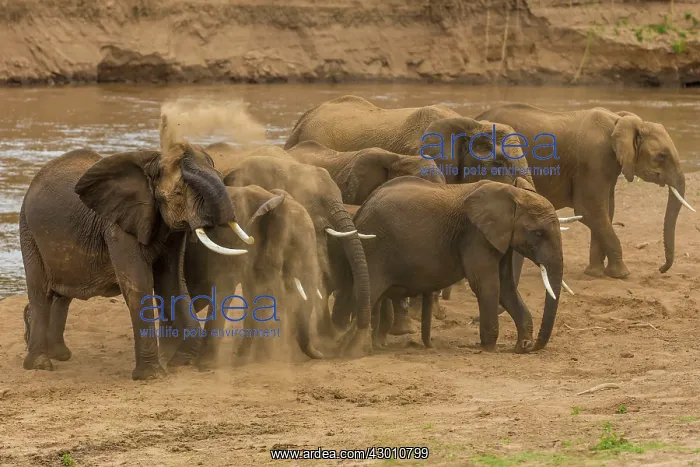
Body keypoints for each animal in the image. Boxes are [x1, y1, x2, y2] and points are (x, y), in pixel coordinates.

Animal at [19, 115, 252, 380]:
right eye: (178, 193)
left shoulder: (168, 230)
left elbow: (172, 283)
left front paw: (178, 363)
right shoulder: (118, 227)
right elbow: (138, 285)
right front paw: (152, 376)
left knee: (62, 294)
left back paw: (58, 354)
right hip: (28, 231)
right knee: (40, 291)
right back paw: (40, 364)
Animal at [184, 185, 323, 369]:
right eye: (294, 245)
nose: (322, 355)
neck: (268, 198)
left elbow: (253, 290)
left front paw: (244, 359)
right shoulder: (228, 239)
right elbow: (226, 287)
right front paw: (207, 365)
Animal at [333, 176, 564, 353]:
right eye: (538, 233)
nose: (532, 347)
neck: (511, 192)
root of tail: (361, 209)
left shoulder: (500, 238)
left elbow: (506, 286)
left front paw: (520, 346)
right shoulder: (475, 235)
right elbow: (486, 284)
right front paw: (488, 347)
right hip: (375, 248)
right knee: (365, 294)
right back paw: (351, 349)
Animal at [476, 103, 695, 278]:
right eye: (661, 156)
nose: (661, 269)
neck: (620, 121)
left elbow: (605, 212)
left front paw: (595, 274)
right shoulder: (594, 159)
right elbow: (590, 211)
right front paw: (622, 275)